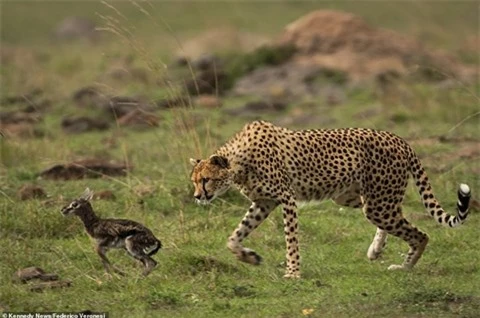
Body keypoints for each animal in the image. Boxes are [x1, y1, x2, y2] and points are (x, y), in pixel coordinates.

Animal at [189, 120, 470, 278]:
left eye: (206, 180)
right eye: (194, 180)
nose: (197, 196)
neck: (239, 162)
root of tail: (398, 138)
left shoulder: (286, 199)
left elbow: (291, 240)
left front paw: (293, 272)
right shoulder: (263, 202)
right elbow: (235, 236)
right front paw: (248, 257)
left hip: (378, 203)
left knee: (420, 234)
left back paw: (405, 268)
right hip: (358, 198)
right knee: (399, 218)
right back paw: (376, 249)